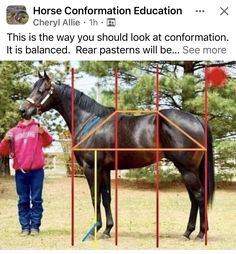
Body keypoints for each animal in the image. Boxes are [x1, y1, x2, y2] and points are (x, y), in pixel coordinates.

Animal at [20, 71, 215, 240]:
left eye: (41, 90)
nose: (23, 110)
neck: (89, 121)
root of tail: (197, 119)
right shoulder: (105, 169)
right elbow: (106, 198)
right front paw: (107, 230)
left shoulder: (91, 168)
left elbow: (95, 197)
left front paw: (95, 230)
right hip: (188, 169)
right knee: (193, 198)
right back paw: (188, 233)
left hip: (187, 169)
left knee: (198, 195)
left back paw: (199, 234)